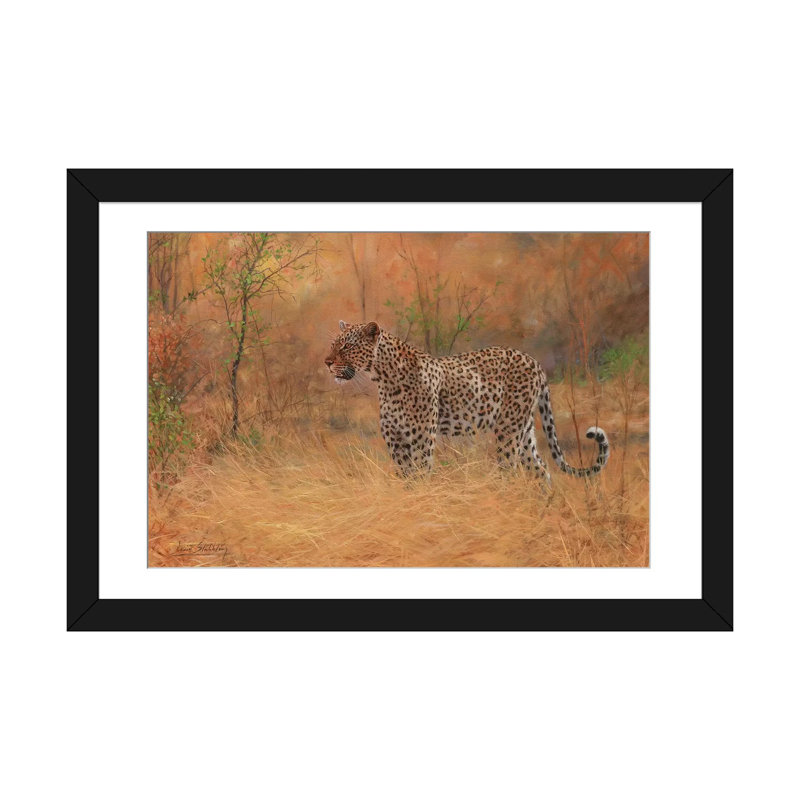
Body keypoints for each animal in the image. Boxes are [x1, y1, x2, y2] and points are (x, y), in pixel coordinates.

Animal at [324, 320, 609, 481]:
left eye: (346, 346)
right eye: (334, 343)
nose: (326, 362)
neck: (383, 377)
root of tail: (534, 362)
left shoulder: (421, 440)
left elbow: (421, 476)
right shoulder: (396, 441)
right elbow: (405, 479)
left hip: (509, 431)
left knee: (511, 471)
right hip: (524, 430)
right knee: (541, 470)